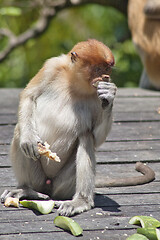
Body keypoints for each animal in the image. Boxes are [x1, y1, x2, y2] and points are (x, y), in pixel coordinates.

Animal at [0, 39, 155, 216]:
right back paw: (26, 189)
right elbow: (29, 96)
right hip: (38, 179)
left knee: (86, 138)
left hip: (63, 184)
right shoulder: (51, 67)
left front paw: (109, 95)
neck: (74, 82)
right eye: (98, 69)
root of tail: (48, 185)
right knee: (19, 131)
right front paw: (29, 140)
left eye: (107, 69)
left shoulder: (96, 98)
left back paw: (81, 201)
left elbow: (96, 137)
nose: (106, 77)